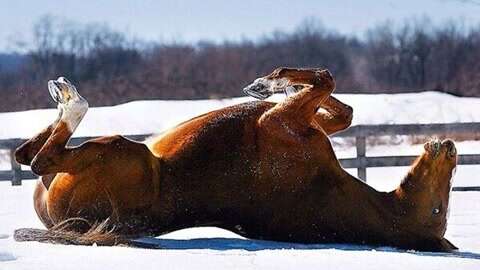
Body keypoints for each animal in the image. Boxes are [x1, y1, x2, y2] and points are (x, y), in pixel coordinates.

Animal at [14, 68, 458, 252]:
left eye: (439, 208)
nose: (450, 147)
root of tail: (72, 222)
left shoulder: (280, 121)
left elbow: (324, 80)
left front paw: (269, 82)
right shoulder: (298, 121)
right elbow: (344, 110)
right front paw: (276, 84)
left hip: (122, 152)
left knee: (39, 160)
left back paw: (70, 98)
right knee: (24, 154)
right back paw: (60, 95)